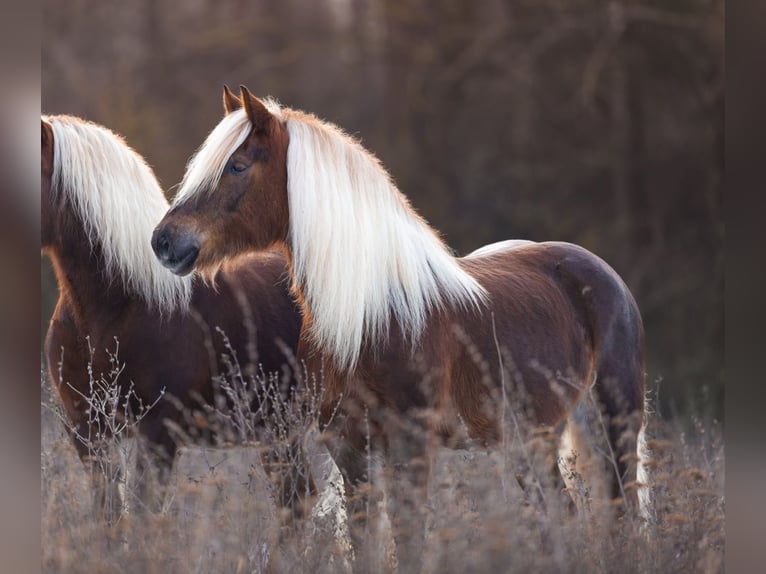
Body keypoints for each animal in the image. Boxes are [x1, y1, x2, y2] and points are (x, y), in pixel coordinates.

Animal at [151, 86, 647, 570]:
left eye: (237, 165)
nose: (164, 242)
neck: (375, 314)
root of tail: (603, 274)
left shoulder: (413, 444)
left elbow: (409, 543)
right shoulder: (350, 447)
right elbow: (365, 543)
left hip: (614, 423)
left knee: (620, 511)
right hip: (534, 438)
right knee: (559, 516)